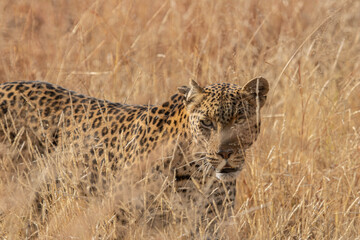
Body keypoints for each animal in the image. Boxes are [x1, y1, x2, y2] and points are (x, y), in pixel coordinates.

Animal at [0, 77, 268, 236]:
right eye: (207, 123)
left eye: (240, 119)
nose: (226, 153)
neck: (199, 175)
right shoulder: (122, 220)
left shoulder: (211, 226)